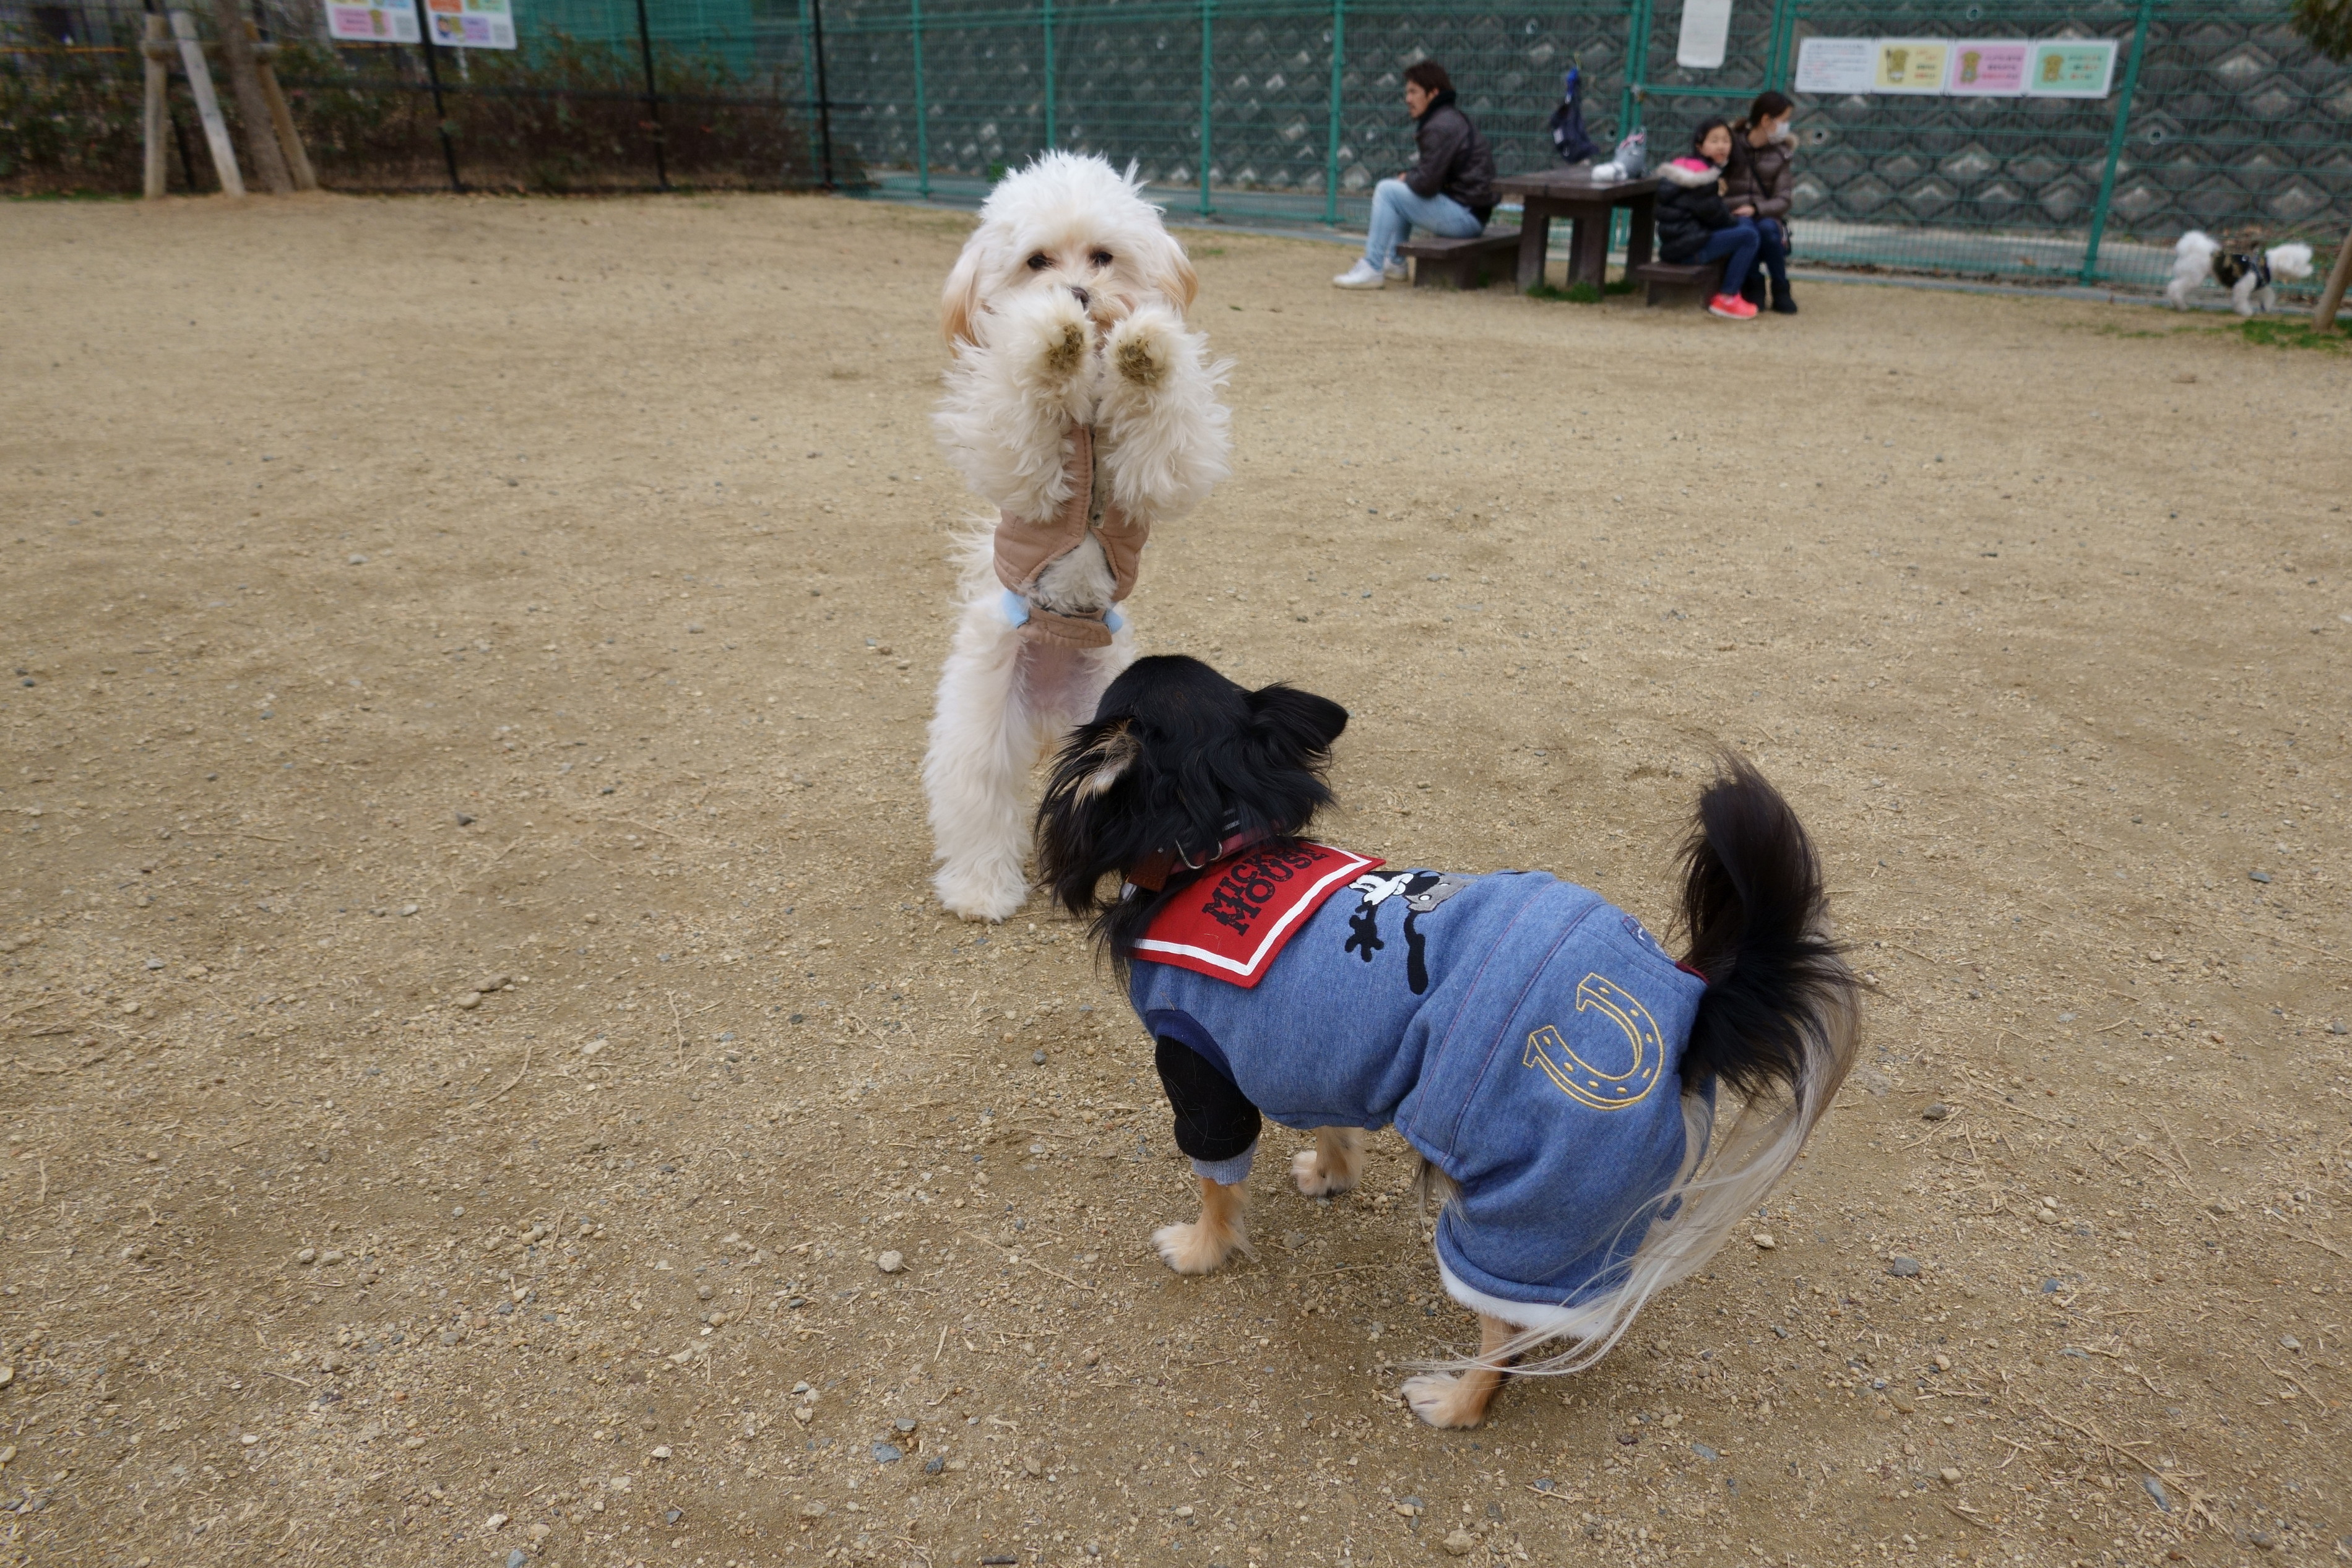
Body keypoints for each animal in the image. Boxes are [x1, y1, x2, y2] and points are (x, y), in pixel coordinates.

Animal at [927, 150, 1242, 921]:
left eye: (1102, 256)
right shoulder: (1030, 474)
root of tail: (1050, 713)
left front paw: (1144, 348)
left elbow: (1160, 422)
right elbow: (1031, 412)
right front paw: (1048, 337)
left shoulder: (1153, 473)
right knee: (980, 800)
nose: (1077, 295)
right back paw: (981, 888)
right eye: (1036, 261)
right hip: (983, 717)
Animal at [1039, 658, 1862, 1429]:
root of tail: (1685, 1014)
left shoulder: (1200, 1071)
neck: (1218, 838)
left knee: (1505, 1341)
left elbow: (1216, 1182)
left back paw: (1454, 1400)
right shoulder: (1312, 1053)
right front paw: (1329, 1175)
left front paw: (1200, 1248)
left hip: (1520, 1212)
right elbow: (1334, 1124)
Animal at [2164, 226, 2314, 315]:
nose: (2312, 269)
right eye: (2303, 264)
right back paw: (2181, 306)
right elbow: (2240, 300)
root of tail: (2191, 249)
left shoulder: (2259, 287)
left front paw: (2266, 306)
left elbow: (2268, 294)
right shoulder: (2243, 286)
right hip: (2194, 276)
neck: (2266, 266)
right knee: (2174, 288)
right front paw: (2246, 312)